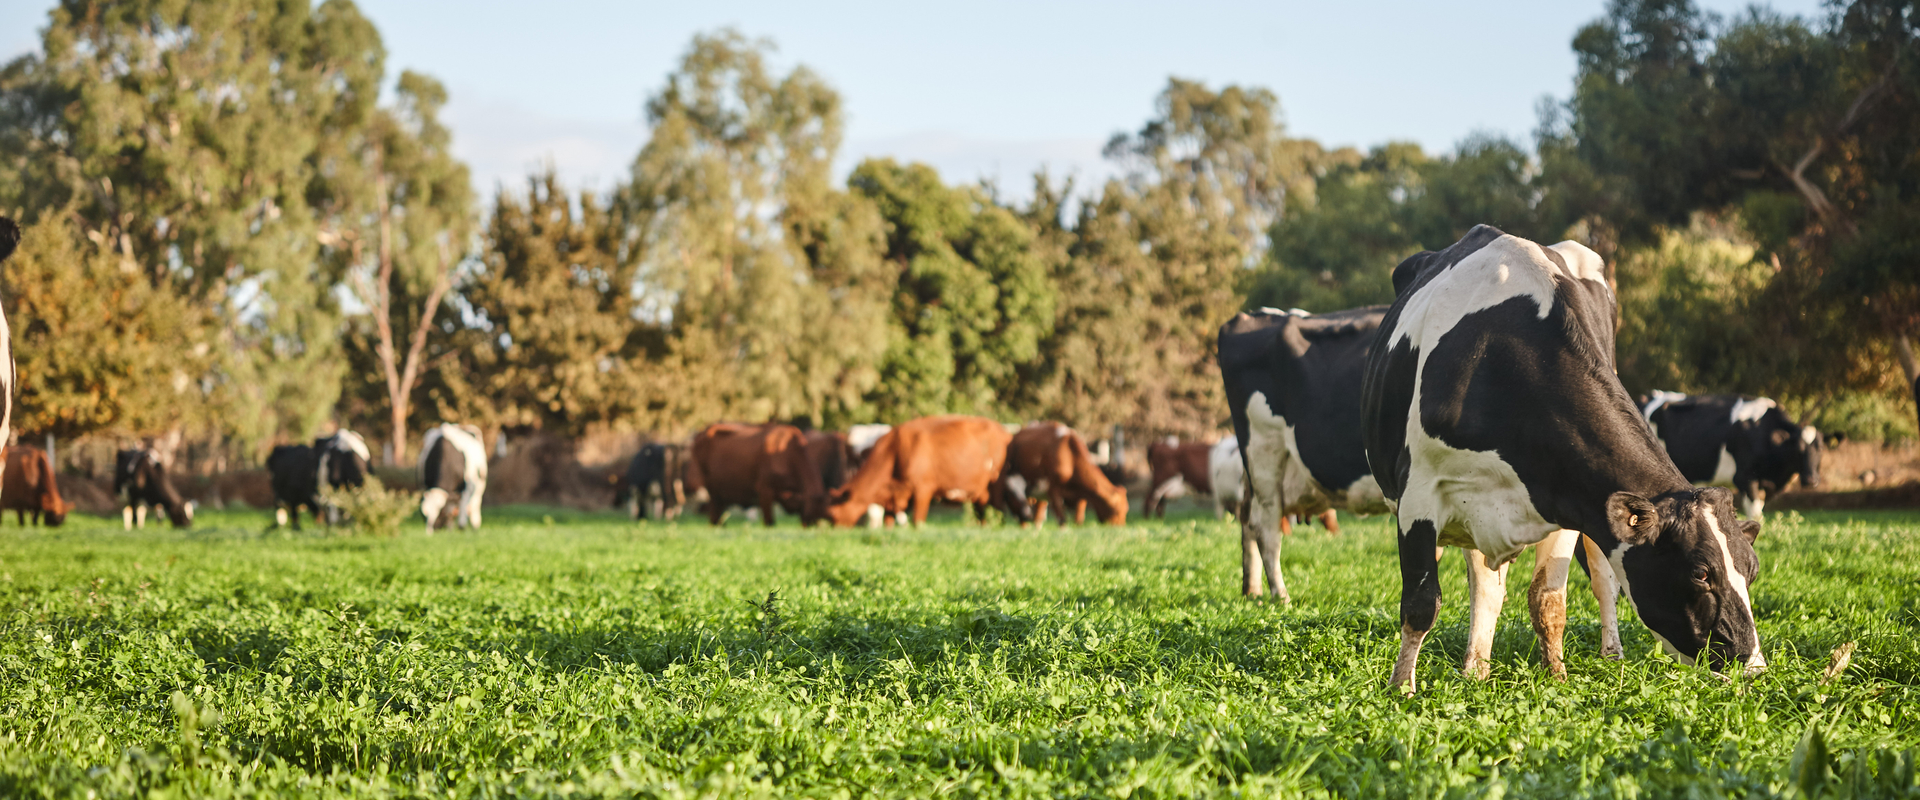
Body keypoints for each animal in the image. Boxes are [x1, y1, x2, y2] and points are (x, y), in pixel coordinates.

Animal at [826, 415, 1013, 527]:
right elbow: (888, 521)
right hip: (980, 493)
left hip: (996, 485)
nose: (834, 530)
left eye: (833, 513)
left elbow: (917, 521)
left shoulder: (923, 489)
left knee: (999, 514)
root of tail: (1005, 432)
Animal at [1218, 305, 1391, 601]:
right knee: (1265, 526)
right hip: (1264, 447)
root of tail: (1253, 315)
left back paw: (1253, 591)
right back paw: (1281, 596)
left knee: (1247, 520)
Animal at [1361, 224, 1764, 691]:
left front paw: (1556, 675)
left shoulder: (1568, 501)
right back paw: (1476, 669)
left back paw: (1603, 655)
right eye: (1701, 573)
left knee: (1598, 582)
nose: (1751, 662)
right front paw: (1401, 688)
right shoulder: (1419, 495)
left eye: (1752, 569)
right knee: (1483, 584)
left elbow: (1548, 600)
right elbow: (1422, 602)